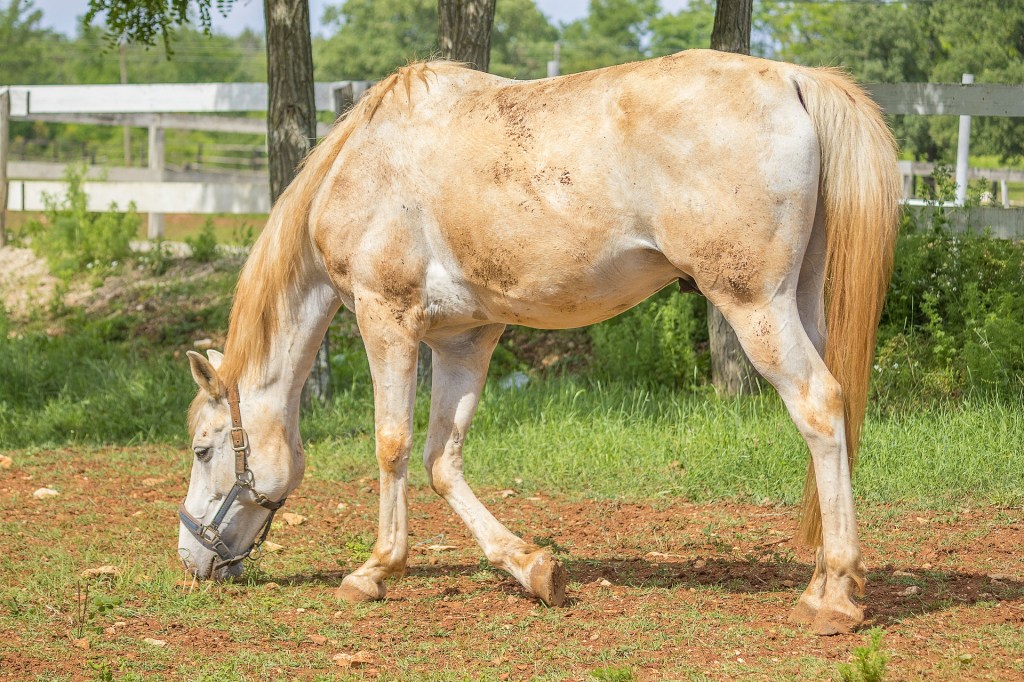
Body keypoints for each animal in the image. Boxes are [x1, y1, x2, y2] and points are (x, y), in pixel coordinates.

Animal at [180, 46, 901, 630]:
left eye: (202, 448)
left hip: (756, 309)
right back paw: (822, 583)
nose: (192, 559)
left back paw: (836, 596)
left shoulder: (386, 319)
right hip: (799, 304)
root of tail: (792, 78)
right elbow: (442, 459)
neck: (365, 162)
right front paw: (533, 569)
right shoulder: (464, 340)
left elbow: (392, 445)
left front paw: (375, 570)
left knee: (818, 407)